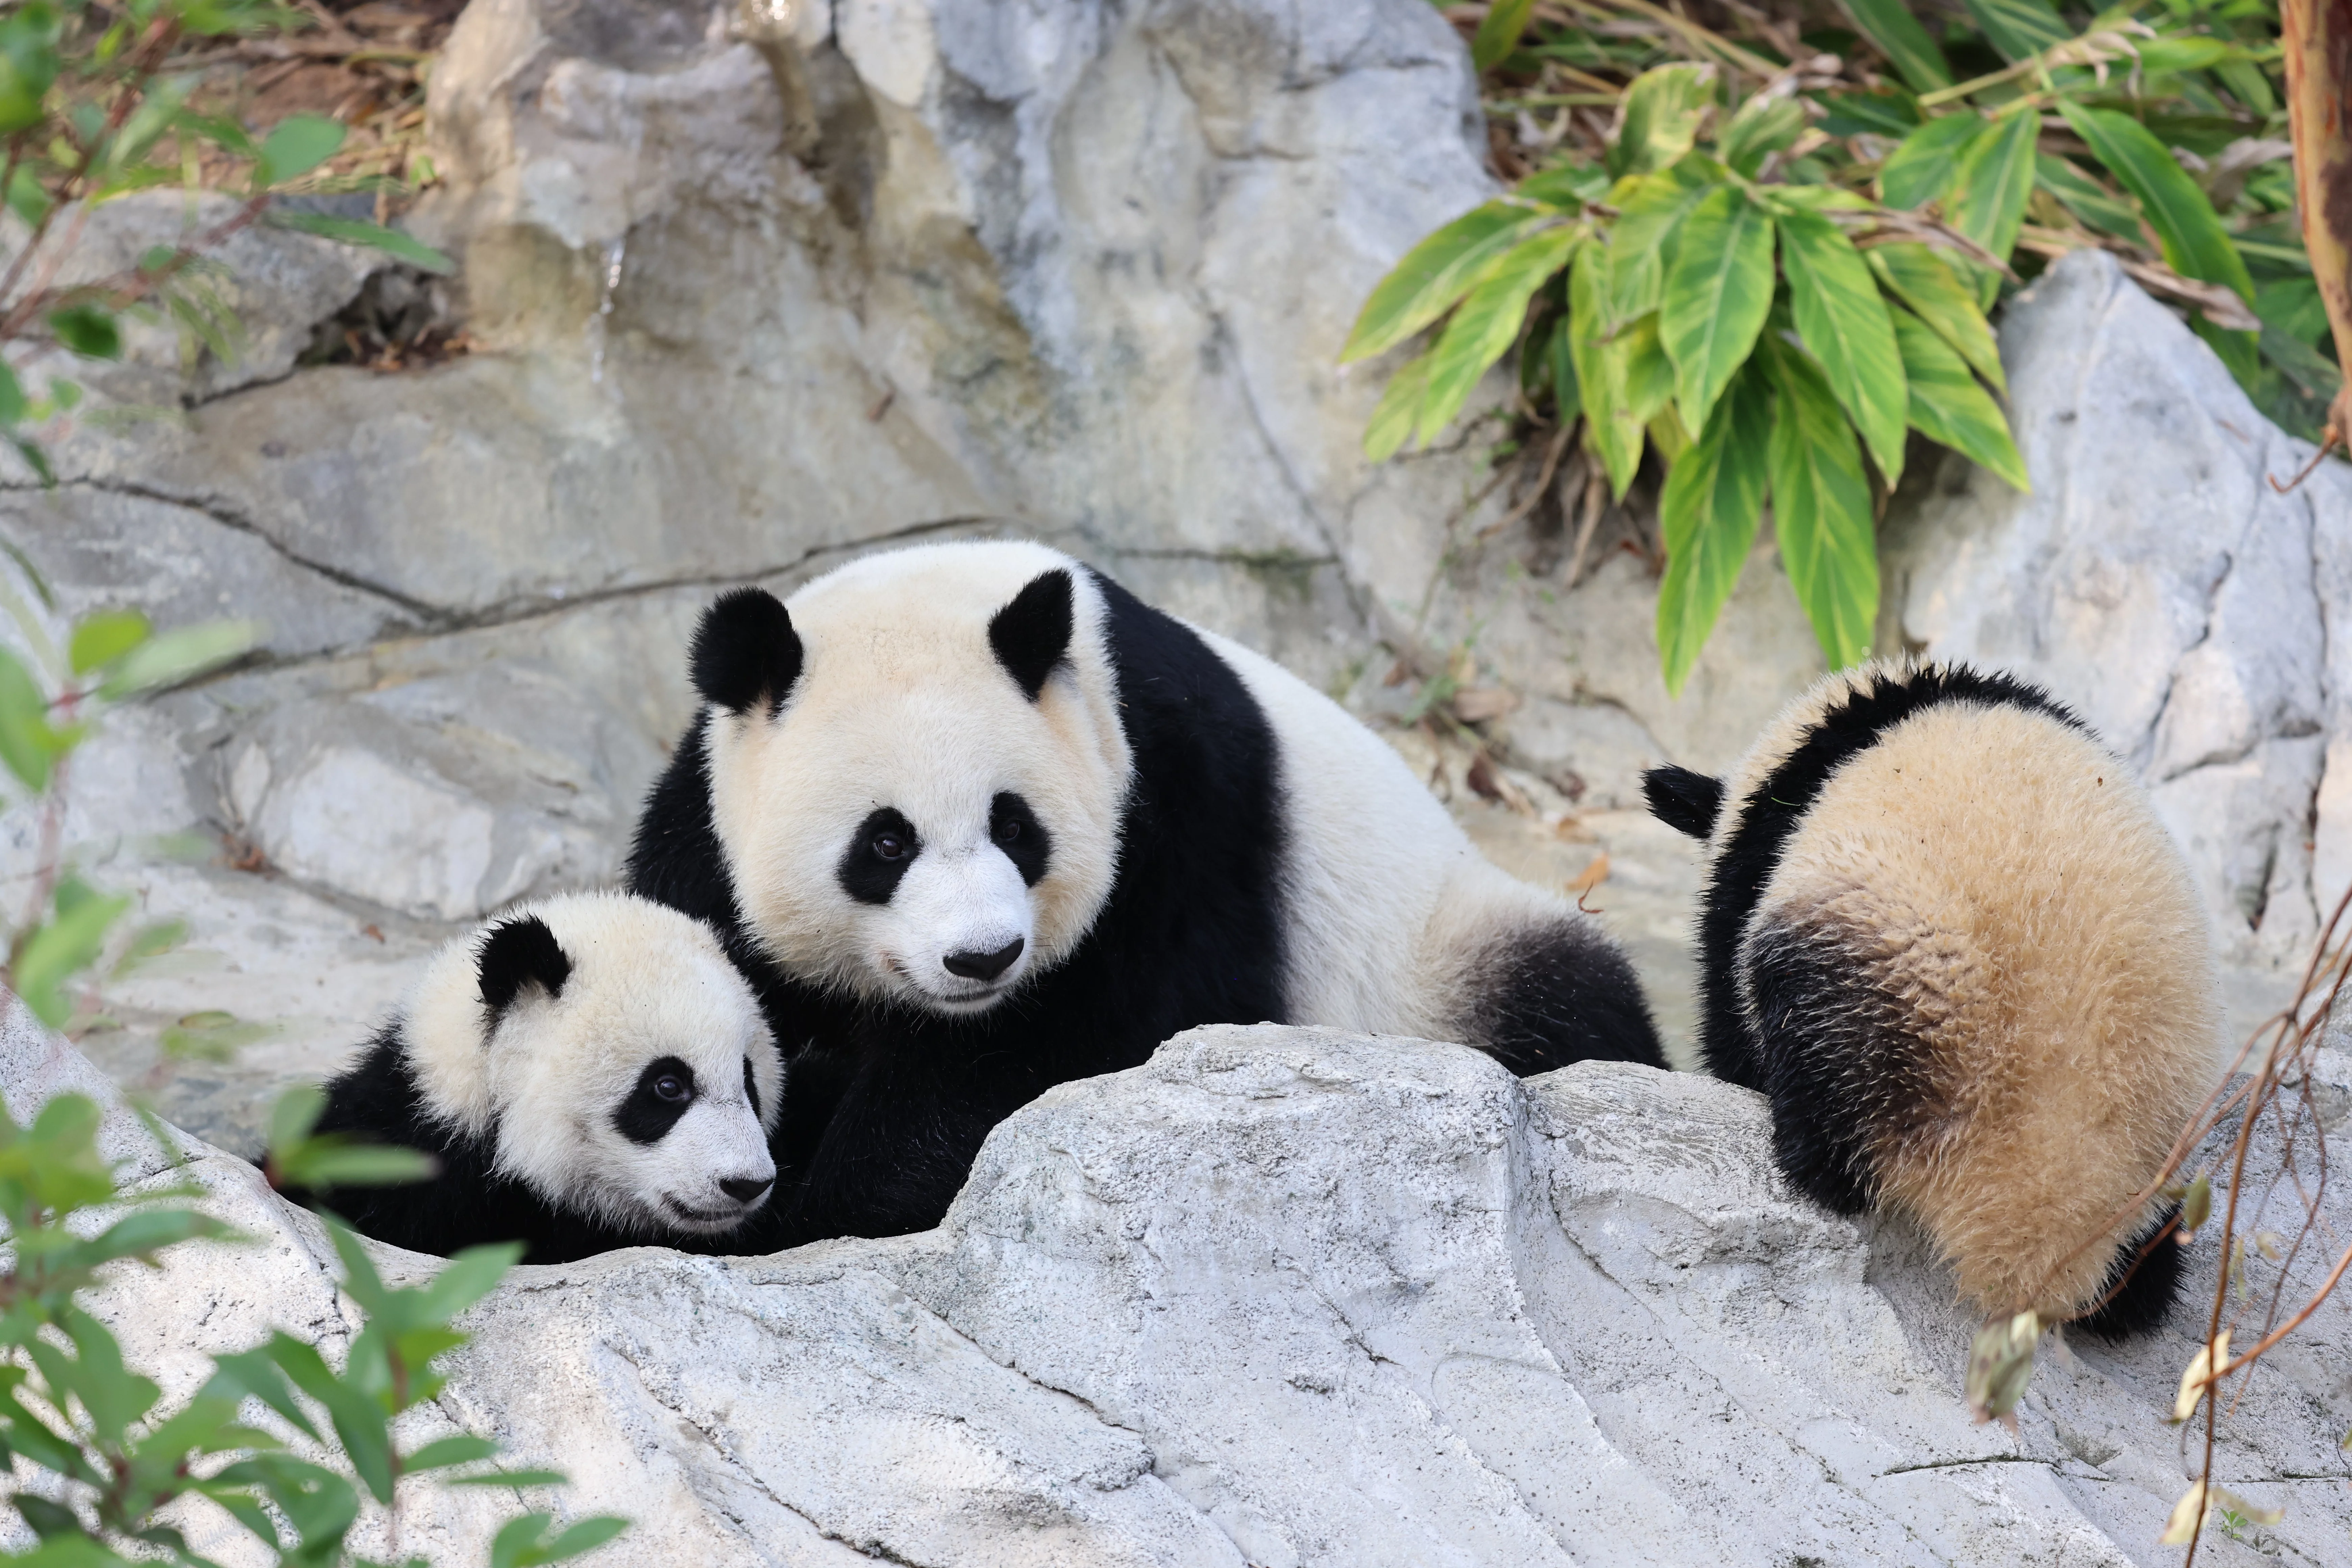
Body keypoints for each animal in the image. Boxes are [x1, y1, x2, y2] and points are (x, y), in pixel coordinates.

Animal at [627, 538, 1664, 1246]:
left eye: (1015, 826)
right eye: (886, 842)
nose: (982, 957)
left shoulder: (1169, 820)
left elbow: (1056, 1055)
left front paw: (818, 1201)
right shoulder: (705, 837)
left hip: (1444, 950)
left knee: (1568, 1002)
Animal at [1640, 659, 2221, 1335]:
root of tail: (2037, 1227)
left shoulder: (1759, 863)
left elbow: (1728, 1006)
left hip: (1899, 972)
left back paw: (1814, 1159)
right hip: (2165, 1132)